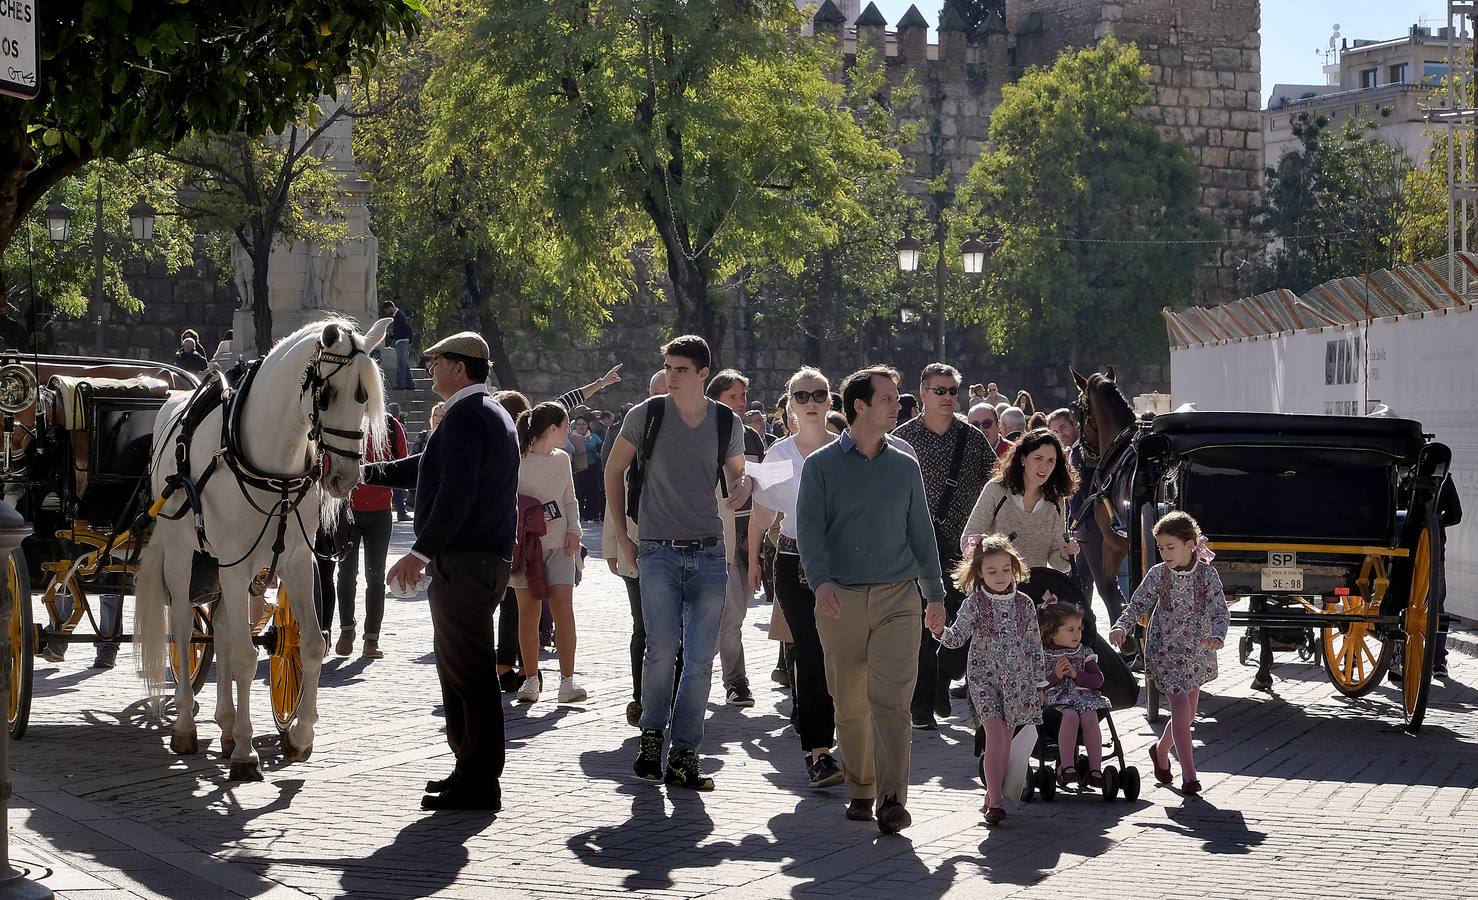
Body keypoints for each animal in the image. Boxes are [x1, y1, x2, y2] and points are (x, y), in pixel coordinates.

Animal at [135, 316, 390, 780]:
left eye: (366, 398)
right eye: (328, 394)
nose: (344, 479)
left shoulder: (297, 563)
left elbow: (311, 645)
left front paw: (300, 736)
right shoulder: (235, 566)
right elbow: (243, 656)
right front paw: (246, 752)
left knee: (219, 628)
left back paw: (225, 724)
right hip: (184, 556)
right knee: (183, 629)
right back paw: (186, 726)